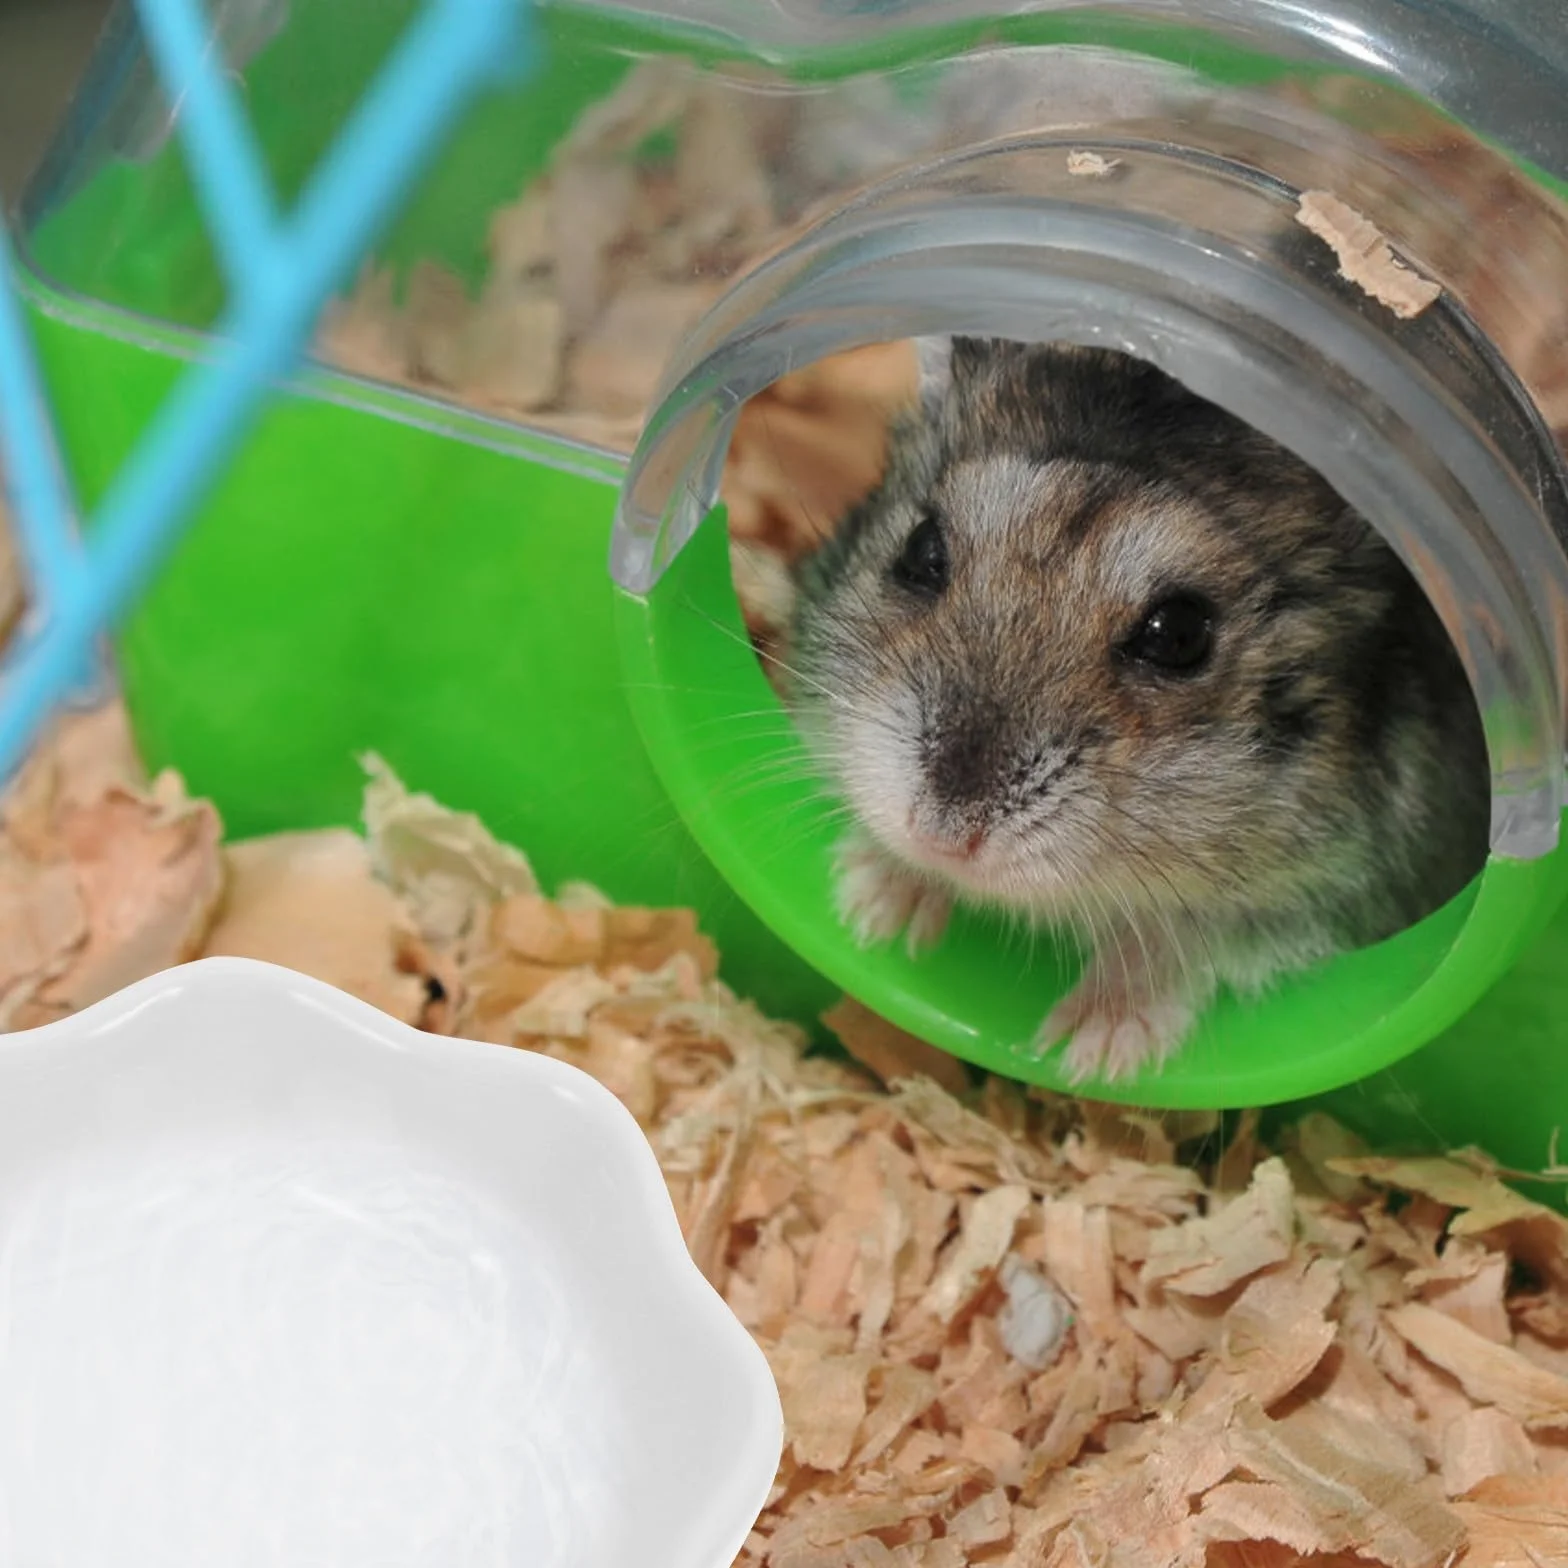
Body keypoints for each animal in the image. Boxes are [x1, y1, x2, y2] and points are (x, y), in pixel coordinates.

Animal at [784, 337, 1490, 1084]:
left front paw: (1087, 1051)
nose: (941, 837)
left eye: (1178, 634)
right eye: (922, 550)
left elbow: (1190, 934)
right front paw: (869, 906)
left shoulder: (1343, 895)